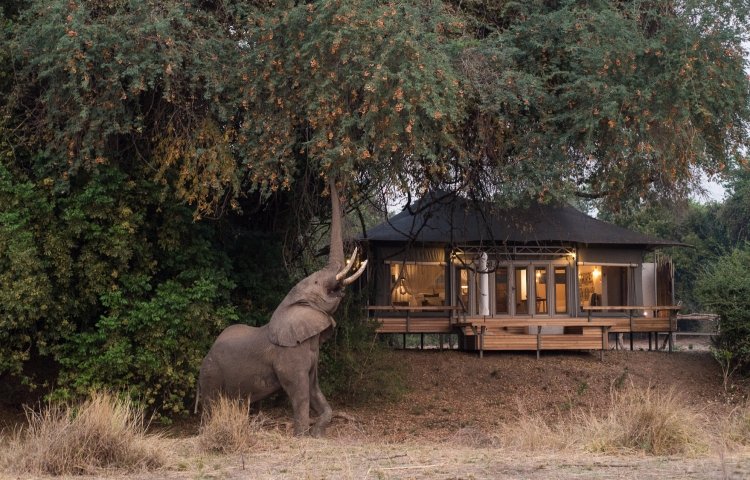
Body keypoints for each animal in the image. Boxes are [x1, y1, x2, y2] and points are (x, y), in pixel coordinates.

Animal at [197, 178, 368, 436]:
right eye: (316, 282)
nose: (329, 177)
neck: (290, 303)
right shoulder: (289, 355)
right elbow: (299, 390)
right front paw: (302, 435)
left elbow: (314, 388)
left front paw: (317, 431)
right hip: (211, 373)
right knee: (211, 405)